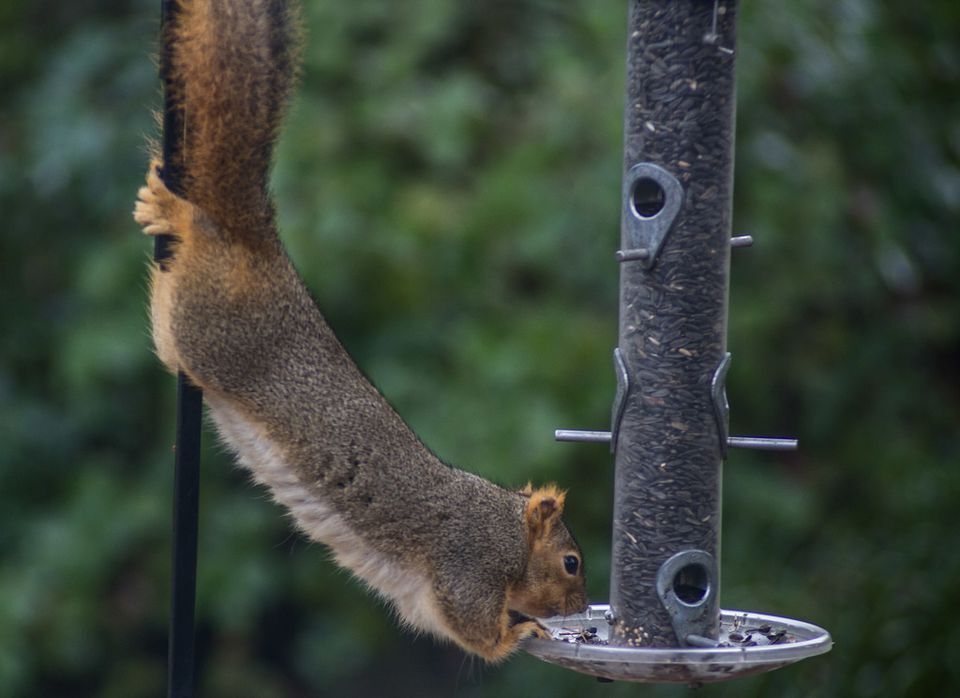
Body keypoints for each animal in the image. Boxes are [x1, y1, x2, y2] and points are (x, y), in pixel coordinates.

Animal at [134, 0, 584, 656]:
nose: (579, 608)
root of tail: (257, 245)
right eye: (571, 563)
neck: (504, 526)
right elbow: (476, 630)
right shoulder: (469, 564)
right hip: (207, 329)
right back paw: (179, 212)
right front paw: (524, 629)